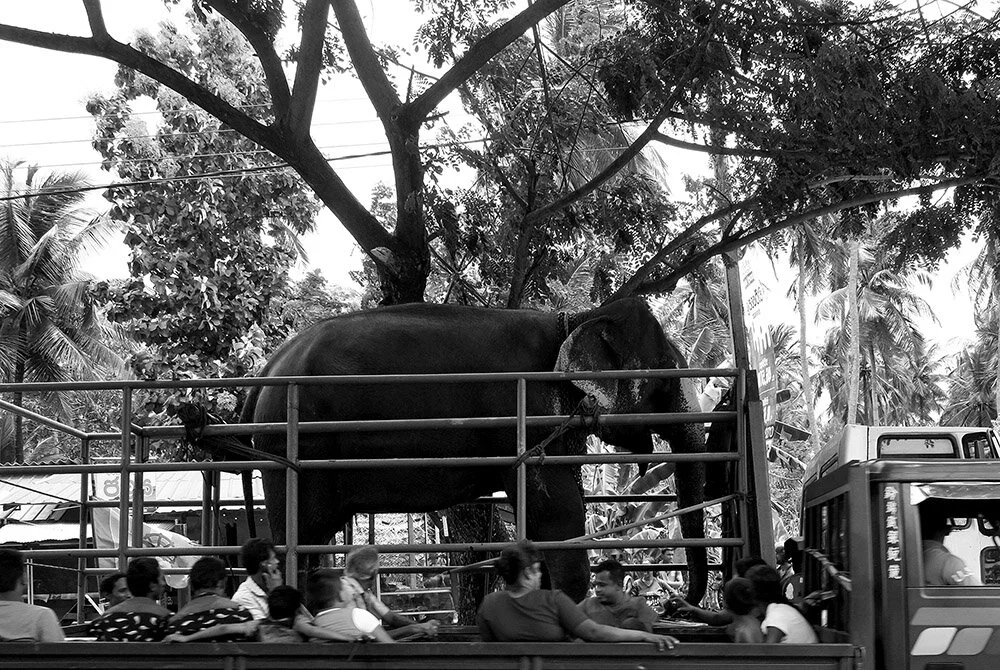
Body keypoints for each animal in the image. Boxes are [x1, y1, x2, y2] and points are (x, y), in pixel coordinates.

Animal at [239, 297, 711, 604]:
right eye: (666, 380)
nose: (677, 604)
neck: (574, 320)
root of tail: (266, 371)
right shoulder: (529, 409)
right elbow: (557, 512)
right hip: (291, 444)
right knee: (300, 535)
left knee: (314, 539)